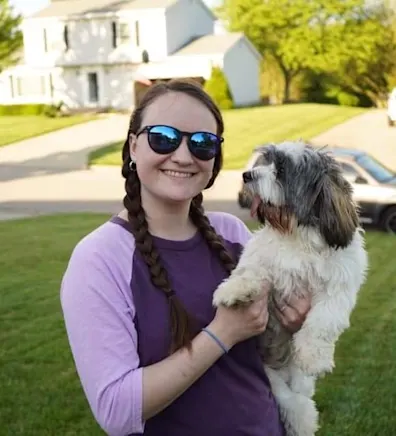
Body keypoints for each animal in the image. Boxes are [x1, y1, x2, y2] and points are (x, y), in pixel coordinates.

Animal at [213, 141, 368, 434]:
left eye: (282, 170)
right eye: (265, 161)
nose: (247, 175)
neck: (296, 235)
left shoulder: (339, 285)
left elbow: (323, 321)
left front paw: (314, 356)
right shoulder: (264, 260)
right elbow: (250, 271)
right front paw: (234, 290)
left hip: (298, 379)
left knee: (298, 398)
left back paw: (304, 419)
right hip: (270, 376)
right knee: (286, 399)